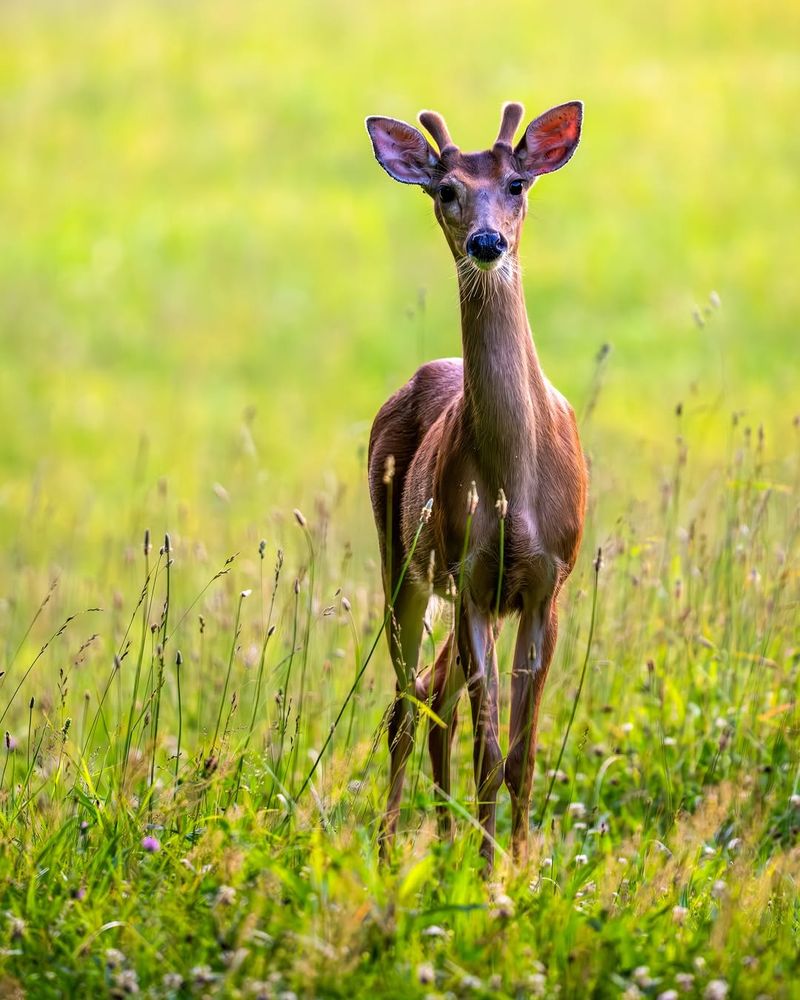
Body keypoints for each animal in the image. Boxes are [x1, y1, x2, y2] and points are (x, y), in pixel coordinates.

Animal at [365, 100, 588, 869]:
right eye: (446, 190)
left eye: (517, 183)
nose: (487, 242)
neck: (515, 483)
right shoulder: (471, 574)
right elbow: (491, 754)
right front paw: (490, 874)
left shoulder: (547, 582)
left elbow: (522, 755)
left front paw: (520, 864)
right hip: (401, 558)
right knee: (406, 705)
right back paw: (390, 849)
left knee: (436, 695)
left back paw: (442, 839)